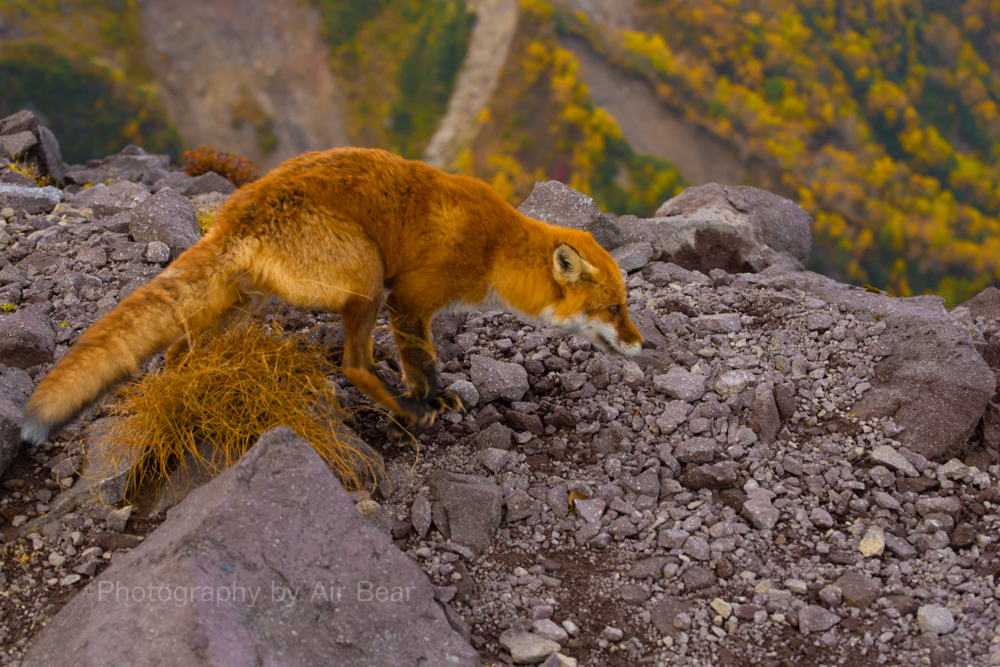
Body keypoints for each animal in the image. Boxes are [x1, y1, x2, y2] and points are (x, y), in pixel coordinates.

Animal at [25, 149, 648, 446]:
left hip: (242, 303)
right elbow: (421, 361)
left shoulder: (409, 304)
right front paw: (424, 401)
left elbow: (425, 362)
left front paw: (438, 397)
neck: (494, 248)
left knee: (178, 351)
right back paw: (401, 411)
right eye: (614, 308)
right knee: (352, 365)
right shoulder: (408, 299)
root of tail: (231, 216)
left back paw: (189, 397)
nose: (642, 345)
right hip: (366, 276)